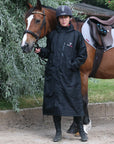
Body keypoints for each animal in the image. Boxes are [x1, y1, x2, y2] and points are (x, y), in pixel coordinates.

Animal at [20, 0, 113, 133]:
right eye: (26, 21)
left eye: (37, 20)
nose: (24, 46)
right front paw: (75, 126)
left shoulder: (82, 74)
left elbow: (83, 99)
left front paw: (85, 125)